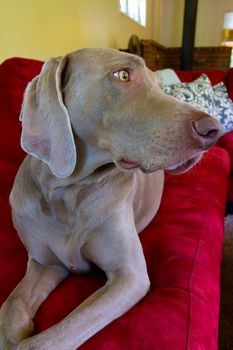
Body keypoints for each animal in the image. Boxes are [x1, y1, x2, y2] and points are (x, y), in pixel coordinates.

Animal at [0, 47, 222, 348]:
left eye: (160, 86)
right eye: (123, 75)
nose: (214, 129)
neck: (68, 191)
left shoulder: (130, 277)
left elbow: (48, 339)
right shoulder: (45, 264)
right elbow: (11, 308)